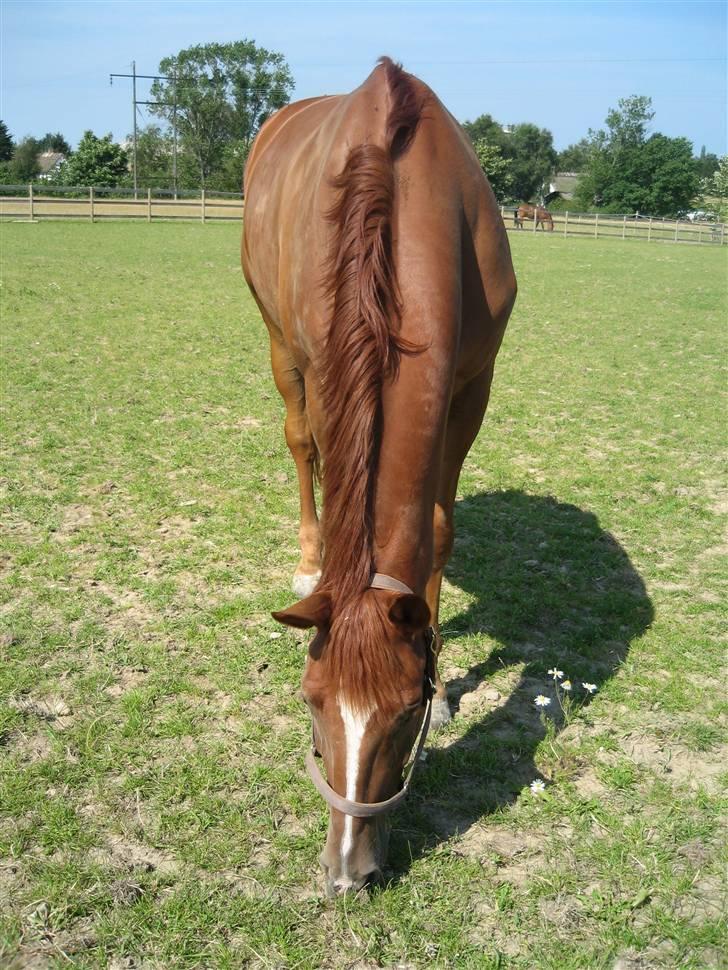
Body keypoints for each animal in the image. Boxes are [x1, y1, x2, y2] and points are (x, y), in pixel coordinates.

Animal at [242, 58, 516, 892]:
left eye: (405, 712)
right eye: (310, 702)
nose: (345, 870)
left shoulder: (472, 382)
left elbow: (438, 526)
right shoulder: (325, 365)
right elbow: (327, 463)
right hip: (280, 343)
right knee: (302, 445)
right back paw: (308, 560)